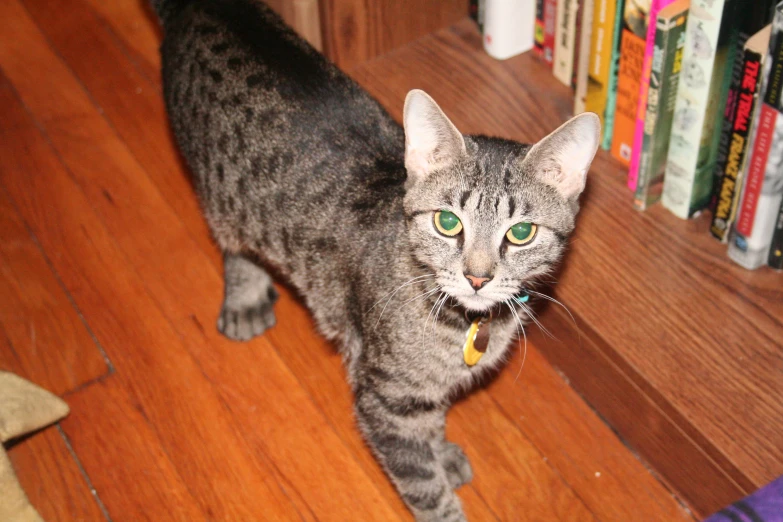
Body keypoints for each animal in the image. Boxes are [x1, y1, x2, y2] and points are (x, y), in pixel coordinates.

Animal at [155, 2, 608, 516]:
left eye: (521, 233)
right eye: (447, 223)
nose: (477, 277)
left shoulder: (419, 393)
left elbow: (432, 423)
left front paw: (441, 452)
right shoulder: (385, 398)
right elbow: (425, 487)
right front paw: (441, 489)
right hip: (219, 192)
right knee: (232, 239)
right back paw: (245, 296)